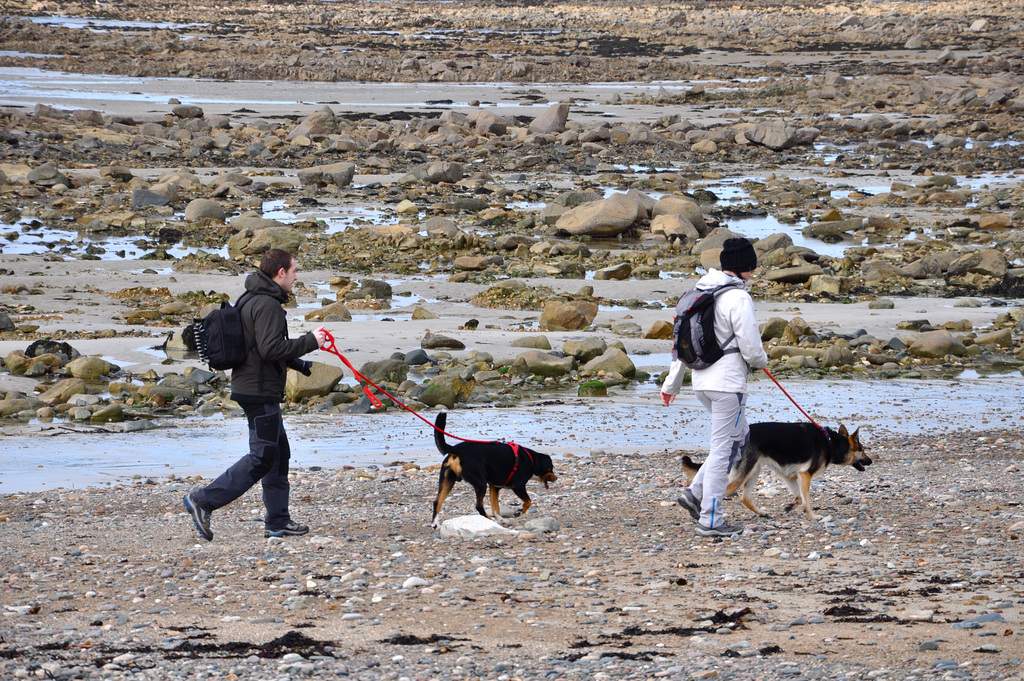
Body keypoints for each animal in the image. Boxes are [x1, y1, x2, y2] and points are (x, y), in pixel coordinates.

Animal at [432, 411, 561, 528]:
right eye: (551, 468)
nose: (556, 477)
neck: (532, 460)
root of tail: (456, 450)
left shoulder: (494, 487)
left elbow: (496, 508)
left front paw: (501, 520)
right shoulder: (518, 486)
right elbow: (528, 501)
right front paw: (520, 512)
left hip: (447, 481)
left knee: (437, 501)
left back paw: (435, 524)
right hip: (480, 483)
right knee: (479, 506)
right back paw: (489, 520)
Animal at [679, 421, 872, 518]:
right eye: (862, 449)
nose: (871, 461)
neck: (831, 442)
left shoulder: (791, 476)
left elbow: (798, 497)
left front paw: (790, 507)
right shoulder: (805, 475)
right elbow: (807, 500)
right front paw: (813, 516)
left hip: (753, 471)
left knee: (745, 498)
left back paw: (762, 513)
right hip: (743, 474)